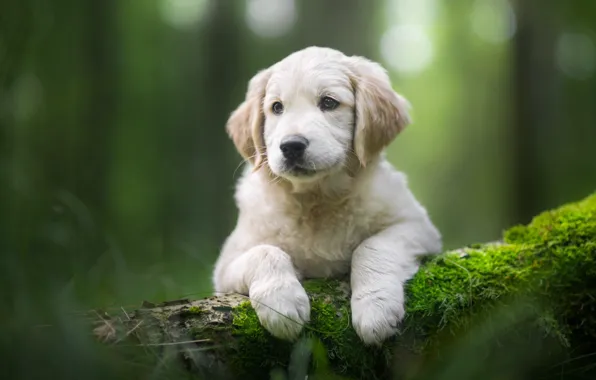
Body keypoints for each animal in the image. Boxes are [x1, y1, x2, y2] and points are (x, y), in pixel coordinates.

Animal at [214, 46, 442, 346]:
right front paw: (282, 303)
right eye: (277, 107)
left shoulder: (417, 225)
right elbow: (265, 252)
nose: (291, 146)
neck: (317, 199)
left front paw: (375, 308)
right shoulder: (225, 266)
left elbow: (372, 246)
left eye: (329, 103)